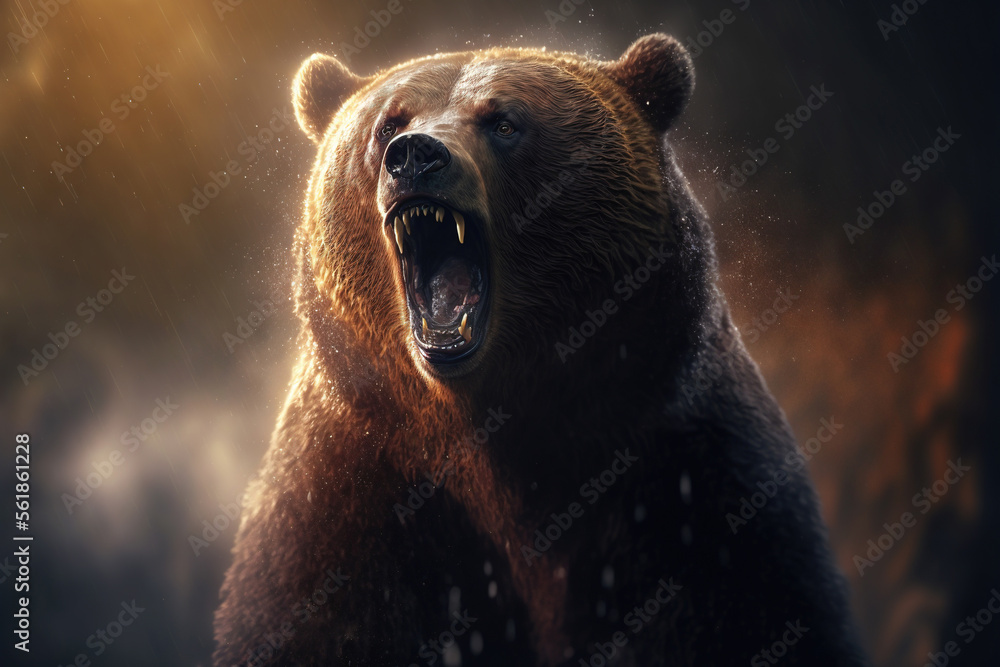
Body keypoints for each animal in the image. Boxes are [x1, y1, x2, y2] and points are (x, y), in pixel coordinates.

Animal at [213, 34, 869, 667]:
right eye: (387, 122)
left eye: (503, 121)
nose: (416, 155)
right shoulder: (348, 490)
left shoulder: (691, 476)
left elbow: (753, 607)